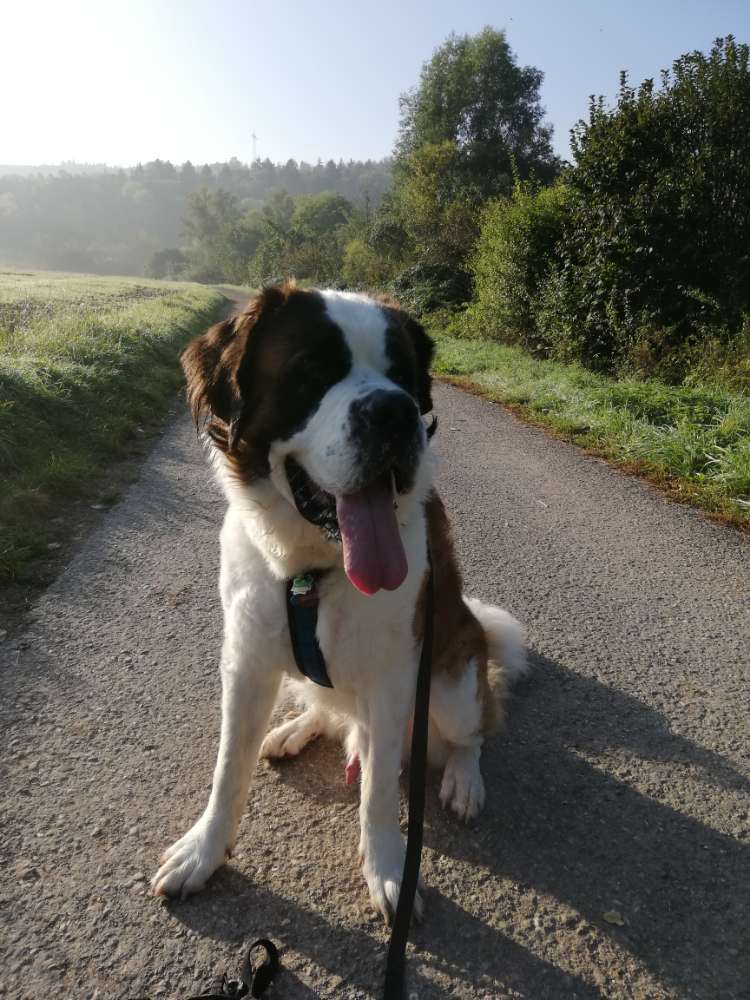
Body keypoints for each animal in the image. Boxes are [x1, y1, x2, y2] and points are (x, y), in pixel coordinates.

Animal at [151, 284, 528, 920]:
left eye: (403, 376)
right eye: (312, 370)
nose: (395, 411)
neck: (310, 570)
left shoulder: (395, 678)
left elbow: (377, 793)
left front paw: (389, 871)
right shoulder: (247, 663)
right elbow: (229, 768)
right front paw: (202, 852)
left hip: (452, 681)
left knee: (472, 732)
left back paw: (463, 779)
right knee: (329, 712)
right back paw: (292, 730)